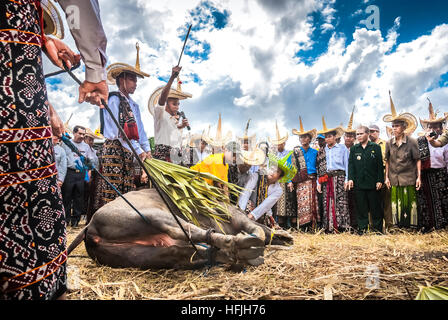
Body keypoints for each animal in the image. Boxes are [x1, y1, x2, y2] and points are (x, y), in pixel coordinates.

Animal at [68, 189, 292, 268]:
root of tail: (91, 226)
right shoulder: (236, 217)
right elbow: (257, 229)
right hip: (152, 215)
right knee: (187, 231)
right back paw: (241, 245)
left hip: (138, 254)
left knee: (181, 252)